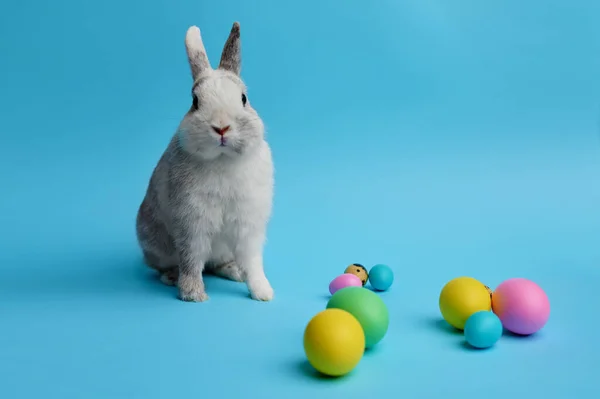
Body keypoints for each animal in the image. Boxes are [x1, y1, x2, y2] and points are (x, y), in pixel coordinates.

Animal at [135, 21, 274, 304]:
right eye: (195, 101)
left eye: (244, 98)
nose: (221, 127)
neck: (222, 159)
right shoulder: (192, 222)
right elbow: (191, 259)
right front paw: (193, 295)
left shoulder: (248, 225)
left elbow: (253, 261)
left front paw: (263, 292)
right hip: (157, 245)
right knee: (168, 266)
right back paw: (171, 277)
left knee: (217, 264)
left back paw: (234, 272)